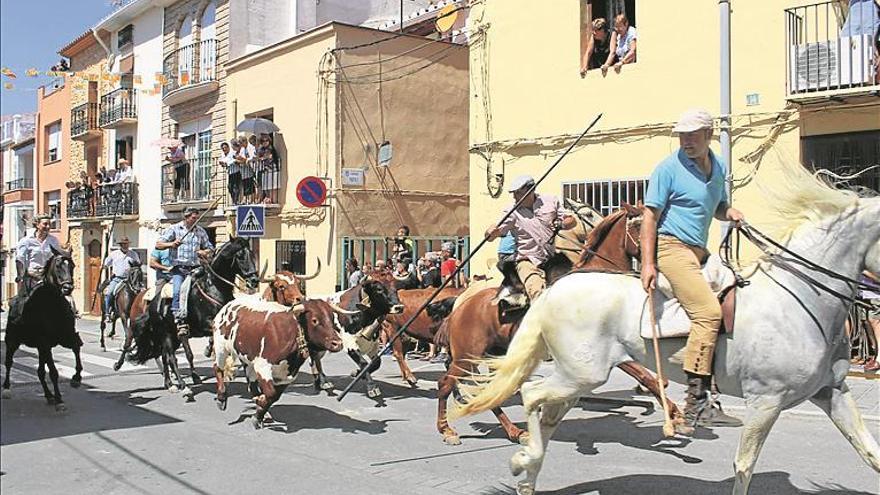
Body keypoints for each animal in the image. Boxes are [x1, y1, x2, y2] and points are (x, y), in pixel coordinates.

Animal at [2, 250, 83, 412]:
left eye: (72, 265)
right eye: (58, 266)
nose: (68, 288)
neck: (53, 306)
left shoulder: (67, 337)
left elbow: (76, 348)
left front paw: (76, 379)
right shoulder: (45, 343)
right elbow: (53, 372)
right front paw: (59, 400)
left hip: (40, 348)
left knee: (39, 372)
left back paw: (49, 395)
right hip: (12, 341)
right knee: (8, 362)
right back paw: (6, 389)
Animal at [129, 237, 258, 400]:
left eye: (252, 254)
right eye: (240, 256)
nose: (254, 280)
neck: (214, 287)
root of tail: (153, 303)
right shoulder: (206, 324)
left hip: (173, 337)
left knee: (164, 356)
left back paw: (170, 384)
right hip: (166, 334)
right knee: (171, 358)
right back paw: (183, 386)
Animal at [213, 296, 344, 428]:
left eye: (332, 319)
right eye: (315, 320)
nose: (337, 343)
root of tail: (229, 305)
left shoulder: (286, 376)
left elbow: (274, 396)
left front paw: (259, 414)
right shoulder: (263, 367)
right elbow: (270, 393)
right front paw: (259, 408)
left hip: (248, 359)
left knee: (252, 385)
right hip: (221, 347)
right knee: (218, 368)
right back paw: (221, 398)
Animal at [434, 203, 688, 448]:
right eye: (641, 228)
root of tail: (460, 306)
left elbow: (649, 375)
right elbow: (645, 376)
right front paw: (674, 414)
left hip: (494, 356)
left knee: (491, 392)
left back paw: (515, 432)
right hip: (467, 356)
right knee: (446, 383)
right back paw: (447, 430)